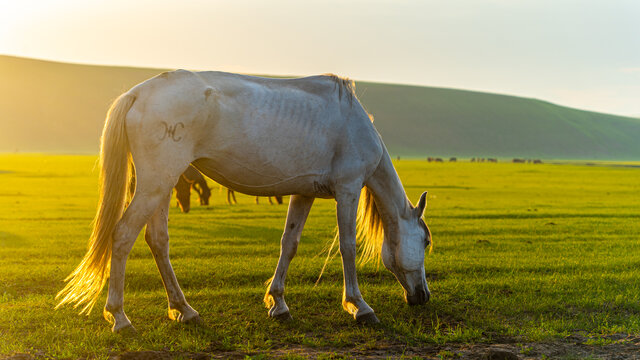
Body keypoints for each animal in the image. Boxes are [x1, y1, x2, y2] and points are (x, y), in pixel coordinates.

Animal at [57, 69, 432, 332]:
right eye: (427, 242)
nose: (424, 297)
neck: (354, 122)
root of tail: (137, 93)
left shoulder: (303, 193)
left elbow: (289, 244)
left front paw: (278, 303)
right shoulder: (348, 190)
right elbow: (348, 246)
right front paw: (358, 306)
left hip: (162, 186)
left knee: (157, 240)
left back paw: (183, 309)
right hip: (154, 185)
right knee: (122, 236)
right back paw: (119, 317)